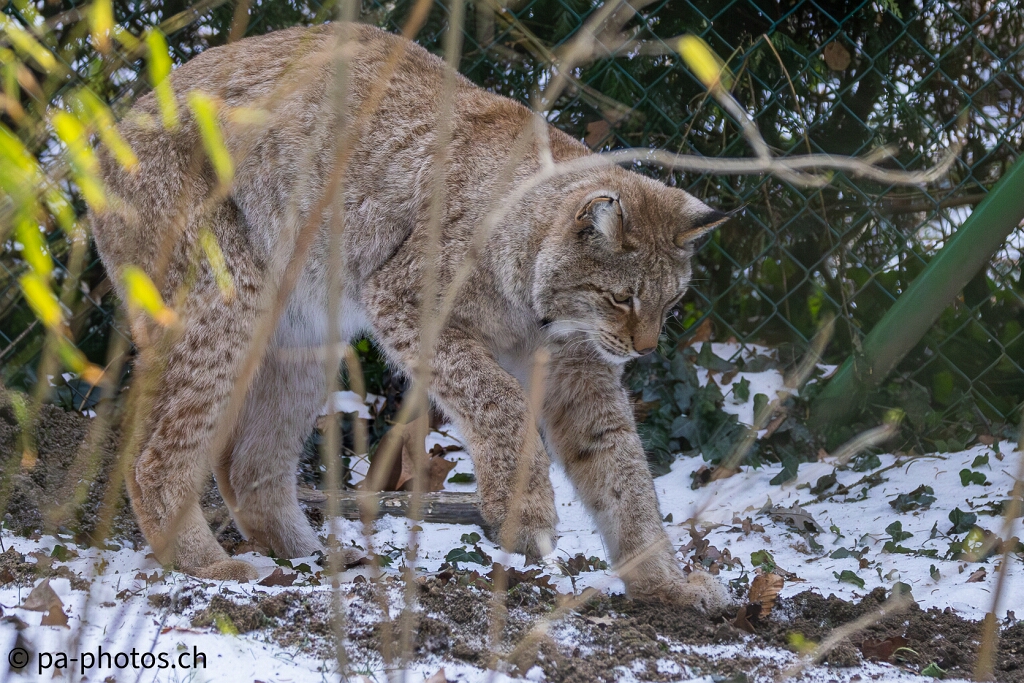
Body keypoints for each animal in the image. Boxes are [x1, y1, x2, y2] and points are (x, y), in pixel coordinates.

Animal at [91, 22, 729, 609]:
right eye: (622, 298)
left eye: (671, 303)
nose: (644, 350)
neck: (541, 308)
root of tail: (115, 124)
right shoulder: (405, 303)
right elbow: (499, 398)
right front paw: (524, 513)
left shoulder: (580, 369)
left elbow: (622, 469)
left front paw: (664, 585)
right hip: (228, 296)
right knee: (150, 456)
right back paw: (208, 565)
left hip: (306, 325)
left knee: (245, 462)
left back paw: (309, 557)